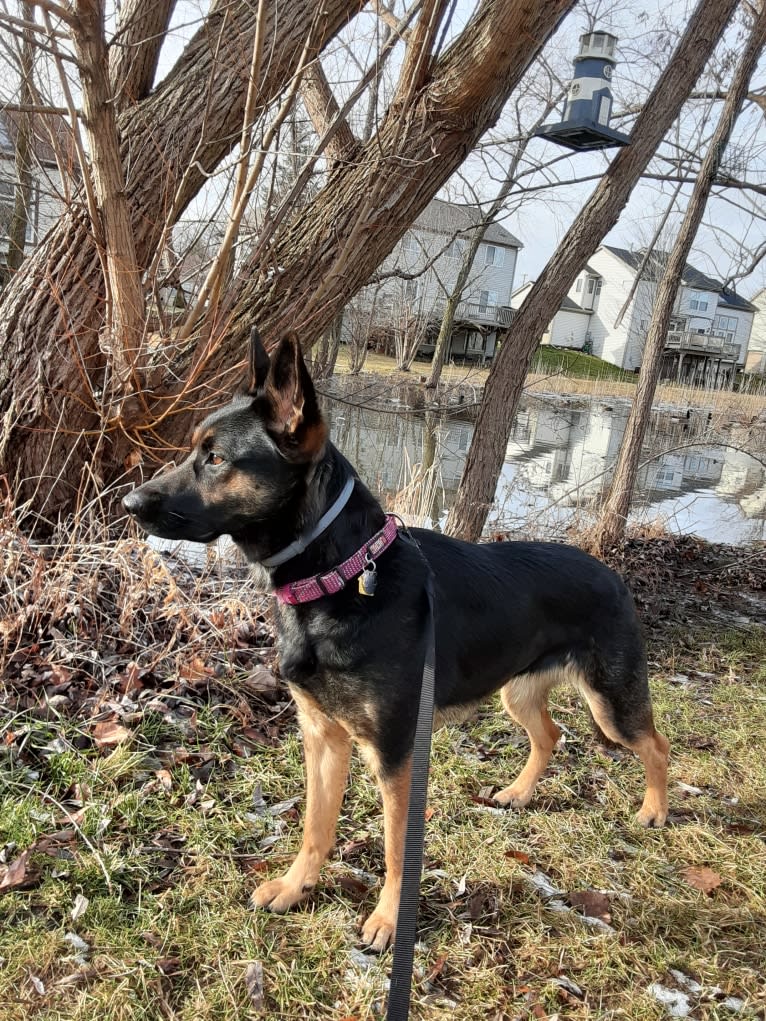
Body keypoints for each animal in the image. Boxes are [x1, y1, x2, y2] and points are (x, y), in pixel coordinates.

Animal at [123, 330, 669, 951]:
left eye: (215, 459)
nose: (128, 504)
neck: (338, 574)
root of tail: (612, 573)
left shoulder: (395, 755)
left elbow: (395, 850)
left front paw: (388, 920)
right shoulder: (322, 737)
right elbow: (316, 826)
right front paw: (295, 886)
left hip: (610, 703)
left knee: (655, 744)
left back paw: (655, 810)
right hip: (517, 692)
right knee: (550, 734)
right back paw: (518, 793)